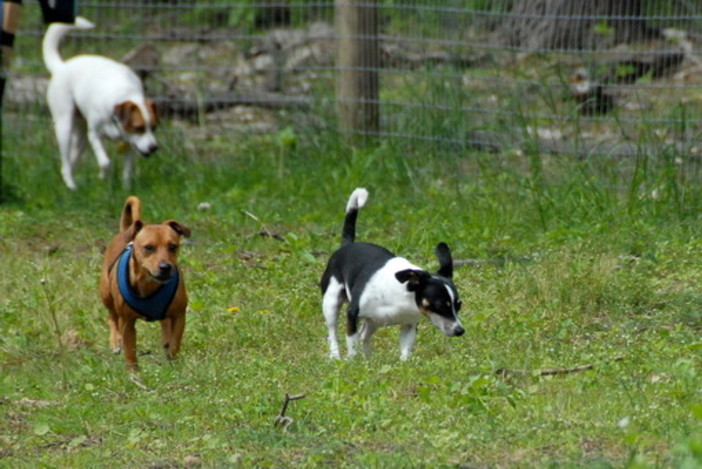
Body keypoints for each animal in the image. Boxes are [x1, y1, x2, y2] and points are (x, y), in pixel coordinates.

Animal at [44, 16, 160, 188]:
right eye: (139, 128)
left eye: (154, 127)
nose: (154, 148)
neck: (124, 95)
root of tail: (62, 66)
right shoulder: (94, 135)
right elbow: (105, 162)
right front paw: (103, 176)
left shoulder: (130, 144)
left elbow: (127, 171)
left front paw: (126, 189)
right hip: (64, 126)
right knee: (65, 163)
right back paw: (71, 187)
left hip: (81, 138)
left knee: (71, 162)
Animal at [99, 196, 191, 368]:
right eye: (148, 248)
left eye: (173, 247)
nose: (165, 267)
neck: (149, 284)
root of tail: (125, 231)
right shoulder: (127, 322)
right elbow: (130, 351)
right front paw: (133, 372)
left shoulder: (179, 315)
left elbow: (175, 342)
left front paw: (172, 361)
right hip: (106, 294)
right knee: (112, 316)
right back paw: (115, 341)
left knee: (165, 325)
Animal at [320, 186, 464, 358]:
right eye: (440, 306)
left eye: (459, 305)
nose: (460, 330)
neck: (403, 295)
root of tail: (347, 245)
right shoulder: (352, 315)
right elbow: (352, 344)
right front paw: (353, 360)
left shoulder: (409, 326)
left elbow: (405, 352)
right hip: (331, 302)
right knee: (333, 332)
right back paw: (335, 356)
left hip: (373, 322)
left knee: (364, 336)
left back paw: (367, 360)